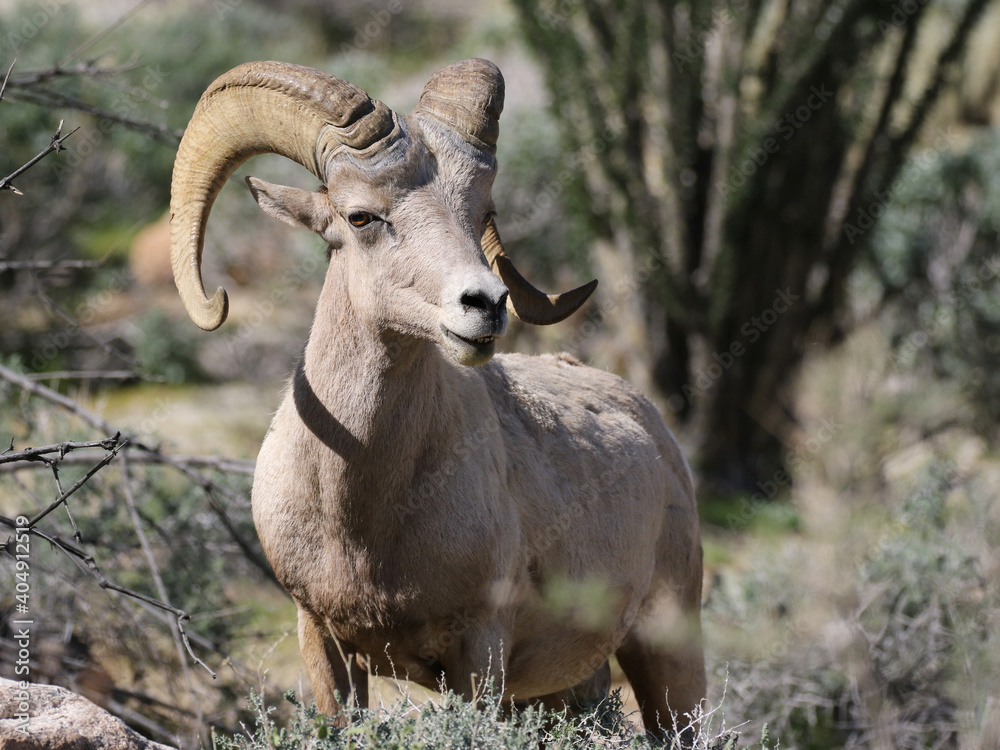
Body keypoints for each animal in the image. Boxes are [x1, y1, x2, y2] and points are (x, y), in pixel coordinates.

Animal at [170, 60, 704, 740]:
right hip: (572, 689)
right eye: (361, 218)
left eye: (481, 209)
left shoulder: (479, 654)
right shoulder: (323, 644)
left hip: (668, 652)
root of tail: (655, 431)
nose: (485, 306)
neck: (360, 513)